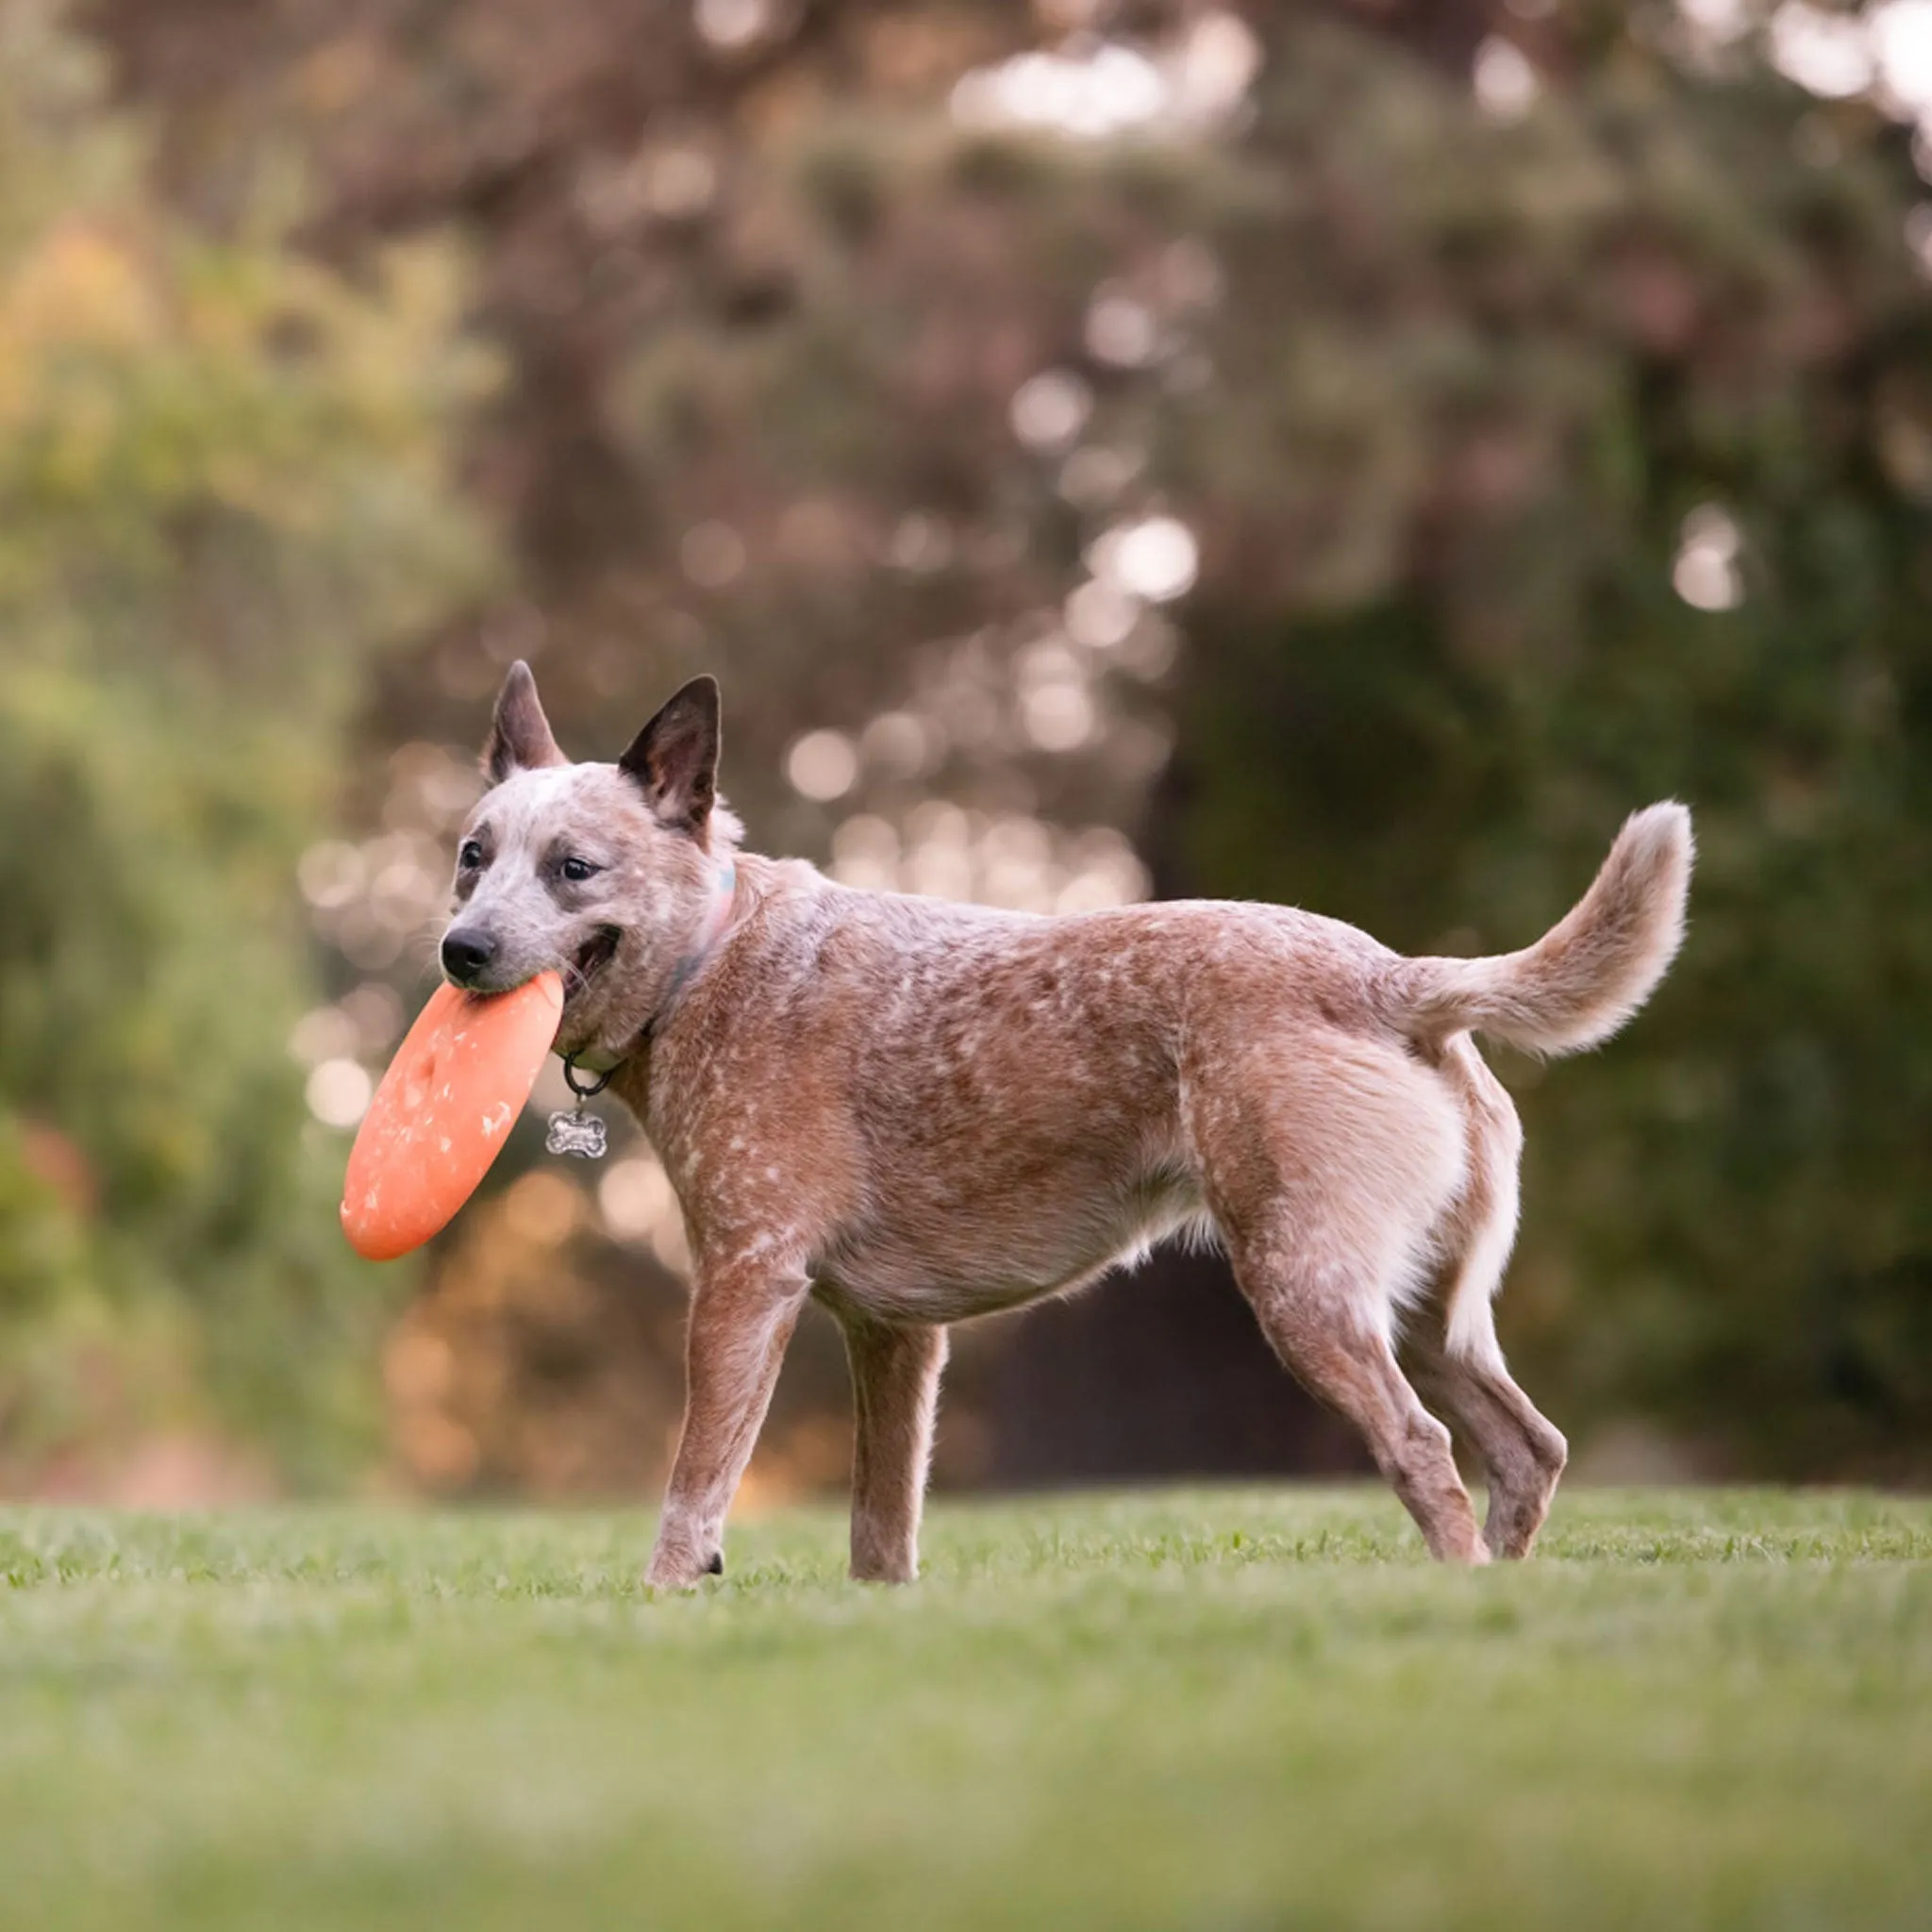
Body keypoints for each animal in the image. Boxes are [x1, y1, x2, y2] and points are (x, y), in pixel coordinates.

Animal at [438, 664, 1692, 1584]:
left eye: (573, 866)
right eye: (470, 855)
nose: (459, 950)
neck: (712, 960)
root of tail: (1393, 974)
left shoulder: (747, 1279)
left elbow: (695, 1483)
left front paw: (661, 1603)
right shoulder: (893, 1334)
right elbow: (879, 1528)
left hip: (1301, 1287)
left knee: (1426, 1449)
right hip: (1430, 1306)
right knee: (1526, 1447)